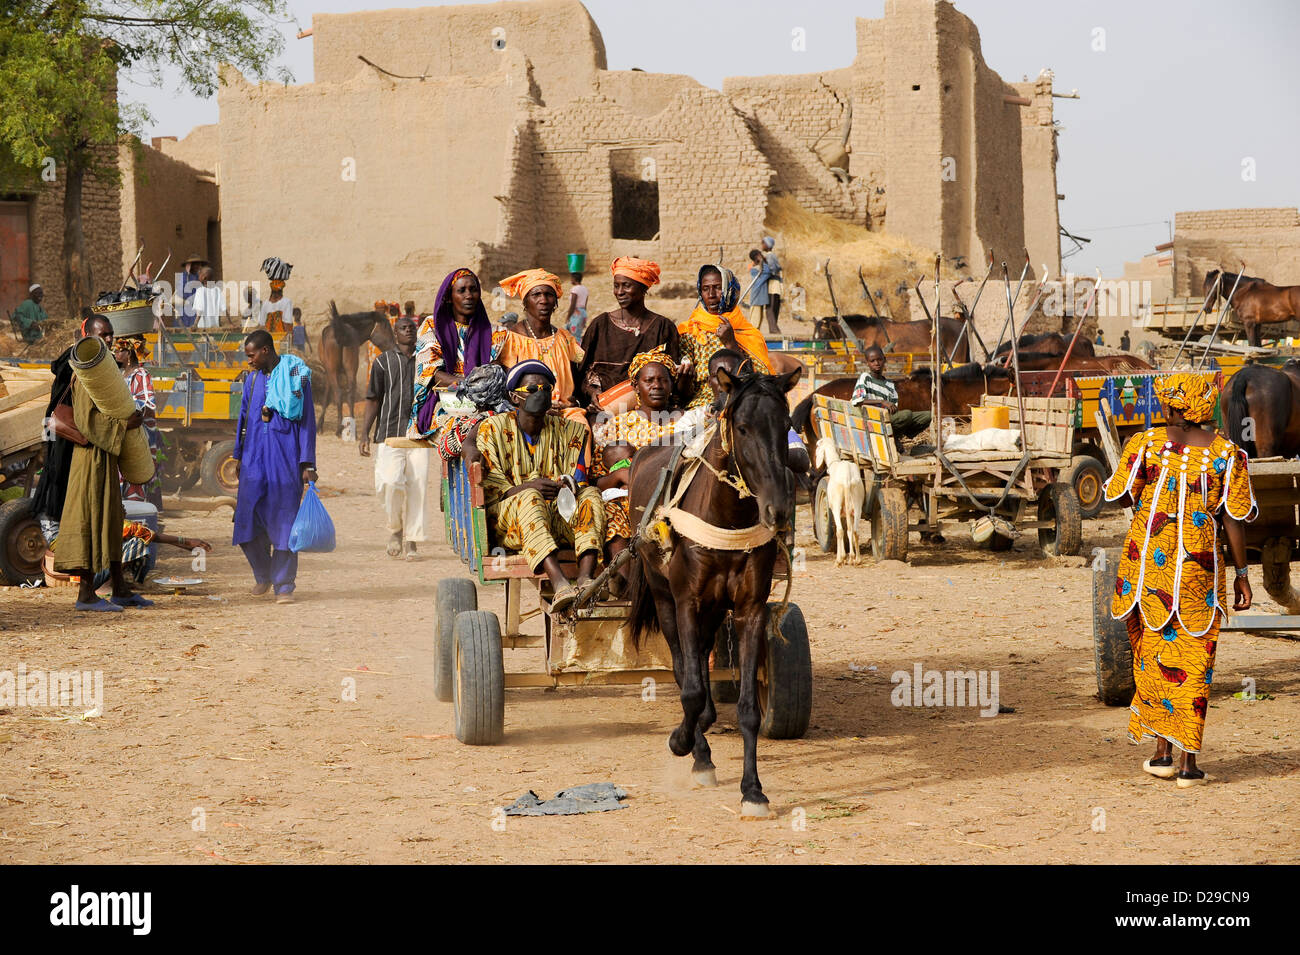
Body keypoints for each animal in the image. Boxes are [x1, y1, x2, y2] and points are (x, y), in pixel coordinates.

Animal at [317, 302, 392, 436]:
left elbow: (326, 397)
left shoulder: (328, 372)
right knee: (350, 394)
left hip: (333, 370)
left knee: (339, 393)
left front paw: (319, 426)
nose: (395, 345)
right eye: (386, 329)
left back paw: (338, 429)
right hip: (351, 369)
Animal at [624, 363, 795, 815]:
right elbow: (691, 691)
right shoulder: (686, 602)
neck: (726, 515)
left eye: (786, 425)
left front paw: (753, 790)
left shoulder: (750, 608)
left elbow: (749, 708)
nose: (778, 510)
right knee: (684, 668)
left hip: (715, 609)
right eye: (743, 427)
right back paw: (698, 750)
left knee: (700, 656)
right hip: (664, 598)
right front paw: (683, 743)